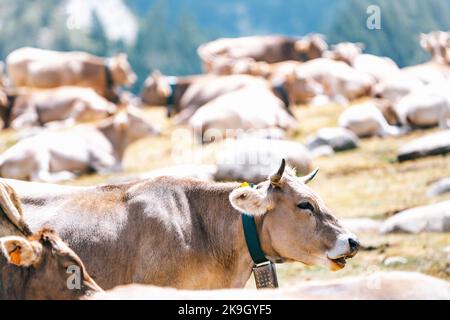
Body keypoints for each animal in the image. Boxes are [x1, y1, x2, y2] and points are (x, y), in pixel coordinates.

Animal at [0, 107, 161, 182]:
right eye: (139, 120)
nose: (158, 130)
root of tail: (4, 157)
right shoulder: (98, 154)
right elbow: (115, 167)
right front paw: (97, 169)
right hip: (38, 154)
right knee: (40, 177)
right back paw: (69, 174)